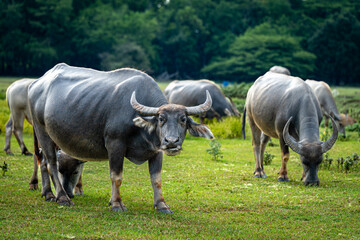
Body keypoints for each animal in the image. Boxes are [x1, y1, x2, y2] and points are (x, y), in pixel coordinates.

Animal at [28, 62, 214, 213]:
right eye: (161, 119)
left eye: (183, 119)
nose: (171, 142)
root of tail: (36, 84)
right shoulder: (115, 145)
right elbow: (116, 176)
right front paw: (117, 204)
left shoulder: (156, 150)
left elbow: (157, 179)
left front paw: (162, 205)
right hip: (41, 130)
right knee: (51, 163)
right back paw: (62, 197)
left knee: (43, 161)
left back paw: (48, 194)